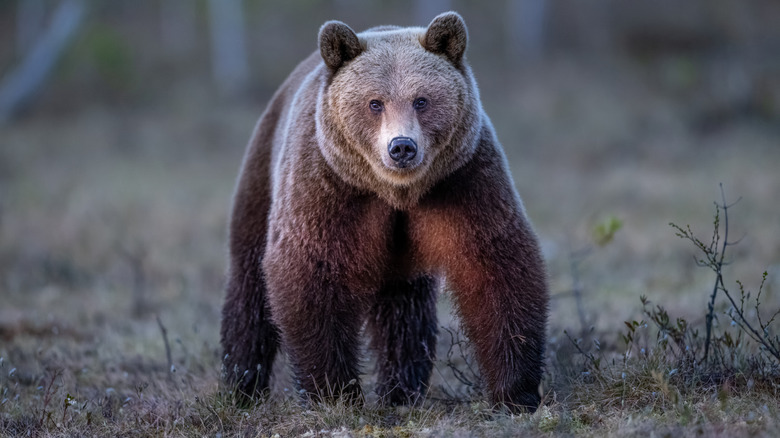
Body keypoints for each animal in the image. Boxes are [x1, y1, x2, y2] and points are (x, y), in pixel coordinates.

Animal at [219, 12, 548, 412]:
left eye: (421, 100)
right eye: (375, 103)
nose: (402, 147)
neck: (395, 192)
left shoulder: (463, 181)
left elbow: (495, 265)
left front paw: (516, 391)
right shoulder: (327, 187)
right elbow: (310, 271)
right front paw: (333, 391)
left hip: (401, 255)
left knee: (404, 311)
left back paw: (402, 390)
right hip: (261, 175)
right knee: (248, 285)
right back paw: (241, 385)